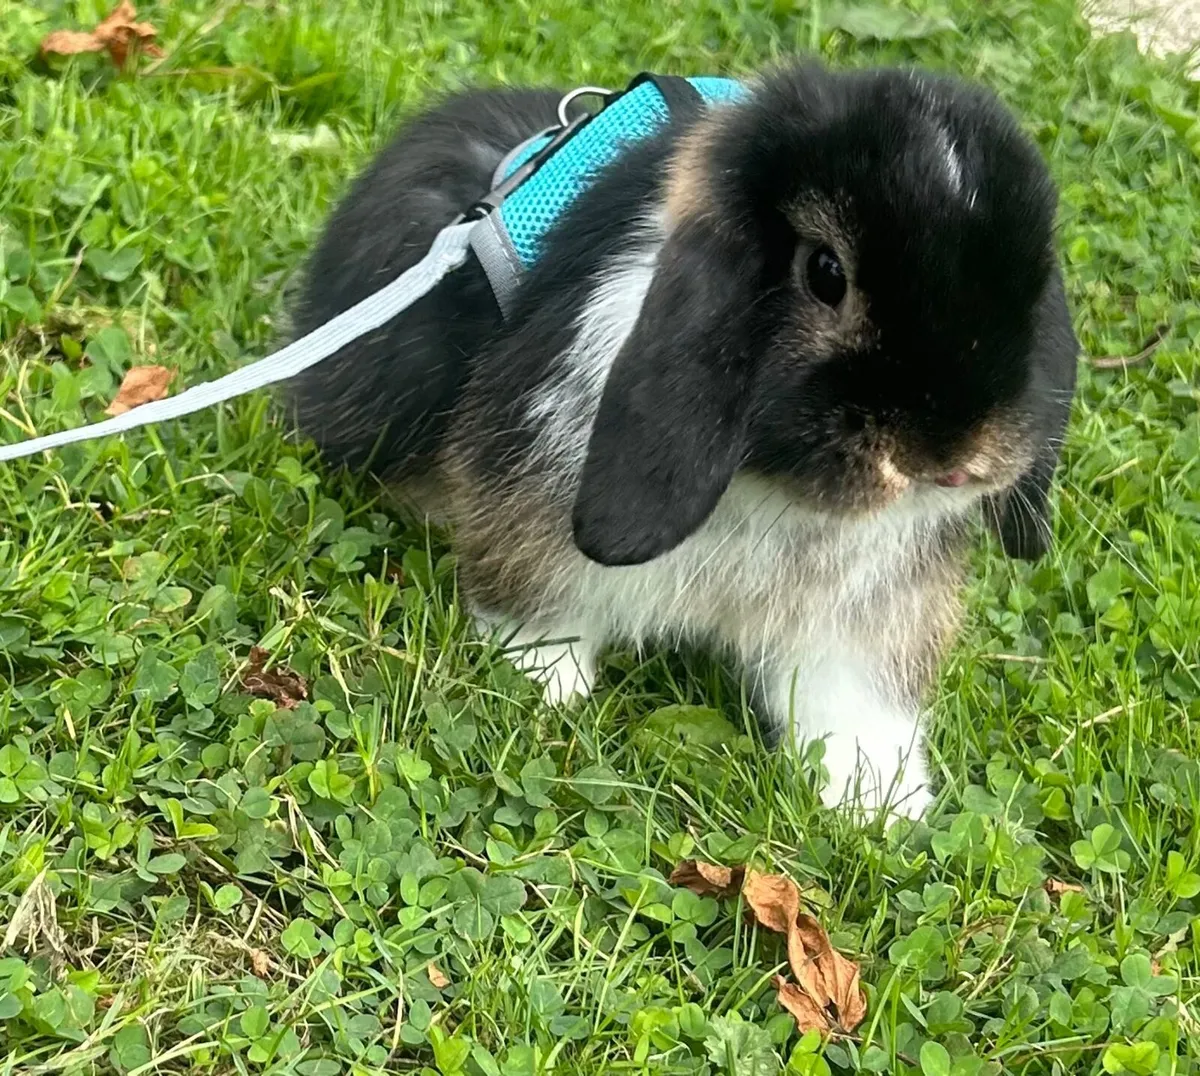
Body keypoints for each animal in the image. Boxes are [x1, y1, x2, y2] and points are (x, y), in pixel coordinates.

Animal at [285, 61, 1078, 819]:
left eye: (1030, 290)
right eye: (826, 273)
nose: (950, 457)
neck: (770, 486)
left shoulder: (863, 618)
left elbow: (855, 700)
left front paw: (880, 801)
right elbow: (538, 605)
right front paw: (547, 684)